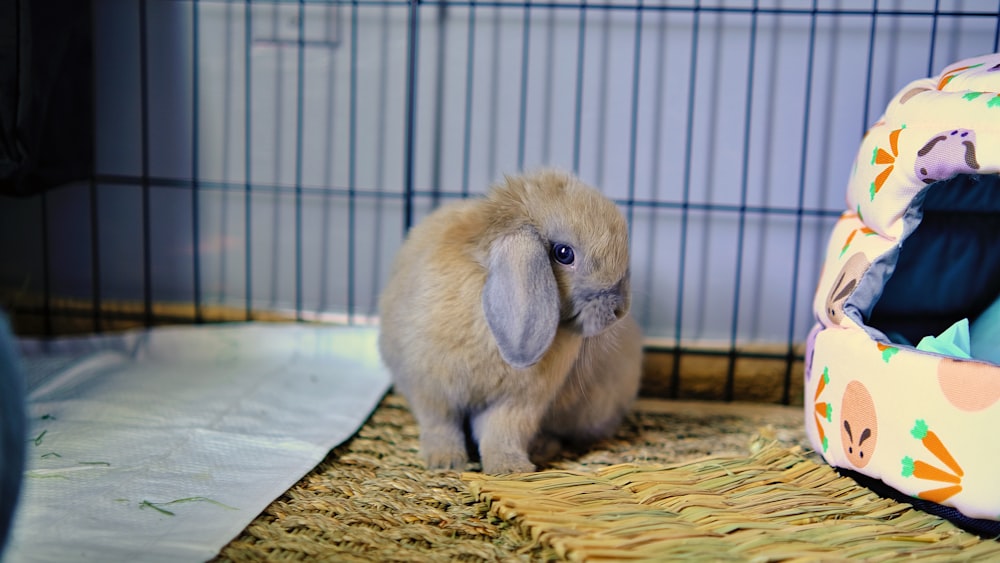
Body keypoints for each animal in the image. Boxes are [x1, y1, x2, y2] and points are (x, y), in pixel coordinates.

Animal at [378, 170, 644, 474]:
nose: (619, 310)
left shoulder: (518, 403)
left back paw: (541, 448)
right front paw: (446, 461)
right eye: (564, 253)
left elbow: (501, 434)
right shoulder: (432, 391)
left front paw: (511, 469)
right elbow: (441, 426)